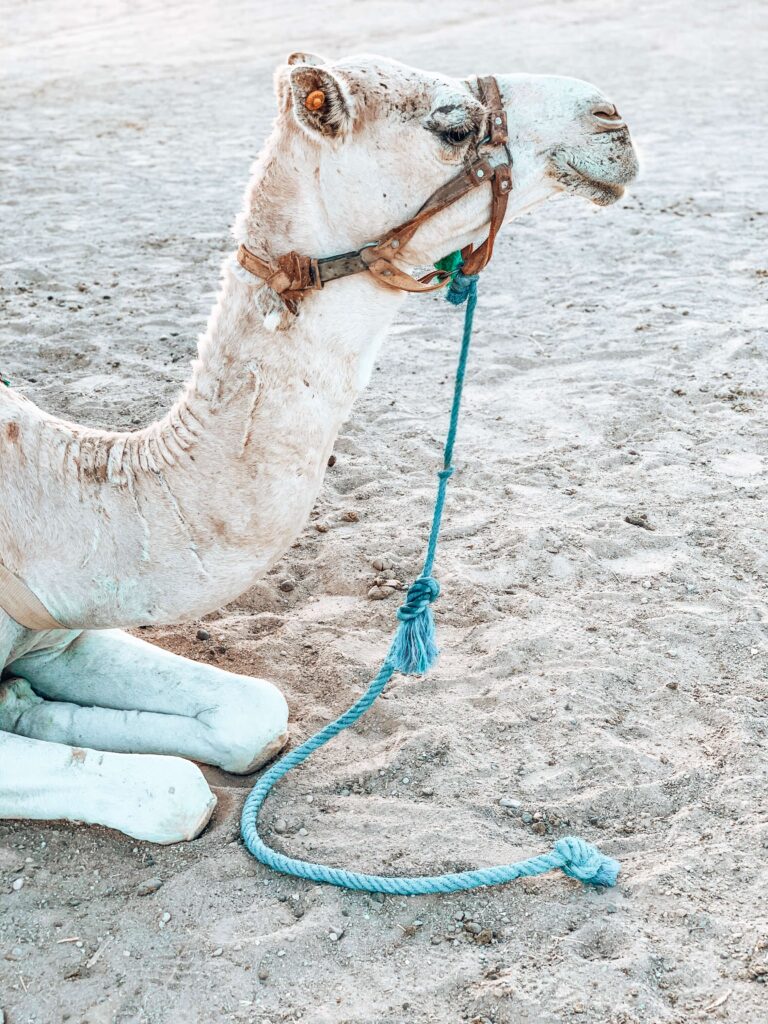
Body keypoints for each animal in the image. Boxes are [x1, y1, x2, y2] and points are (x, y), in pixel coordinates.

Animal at [0, 54, 638, 844]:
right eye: (452, 125)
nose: (612, 119)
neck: (40, 492)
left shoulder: (55, 630)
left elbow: (255, 715)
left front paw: (24, 705)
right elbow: (172, 791)